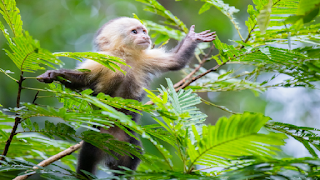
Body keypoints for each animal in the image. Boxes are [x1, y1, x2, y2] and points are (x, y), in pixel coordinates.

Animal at [37, 16, 218, 177]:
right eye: (135, 31)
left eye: (144, 31)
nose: (145, 36)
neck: (125, 56)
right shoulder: (103, 60)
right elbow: (82, 80)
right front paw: (54, 75)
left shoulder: (144, 58)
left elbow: (176, 61)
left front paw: (193, 37)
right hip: (96, 139)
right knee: (88, 158)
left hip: (127, 143)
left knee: (130, 159)